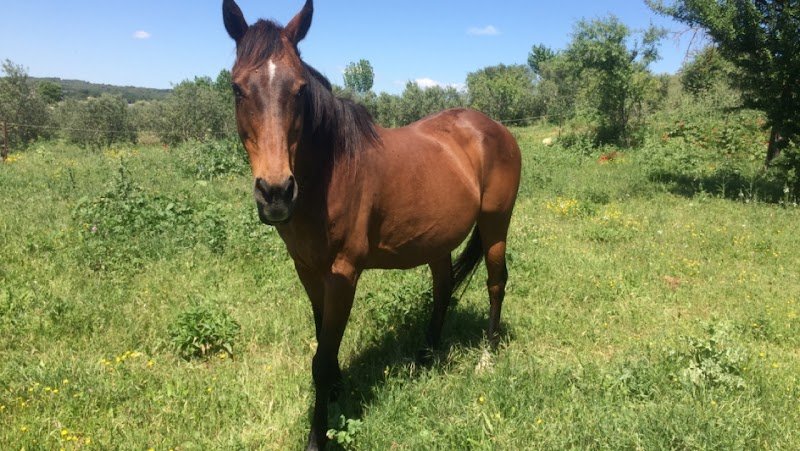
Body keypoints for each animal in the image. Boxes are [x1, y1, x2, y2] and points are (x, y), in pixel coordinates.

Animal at [222, 1, 521, 448]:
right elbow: (323, 344)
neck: (329, 172)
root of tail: (494, 127)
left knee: (495, 283)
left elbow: (322, 358)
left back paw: (486, 356)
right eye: (237, 89)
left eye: (300, 89)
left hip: (496, 225)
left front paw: (318, 434)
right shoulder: (308, 271)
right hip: (438, 240)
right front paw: (336, 392)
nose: (275, 193)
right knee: (443, 287)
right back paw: (426, 355)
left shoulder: (343, 274)